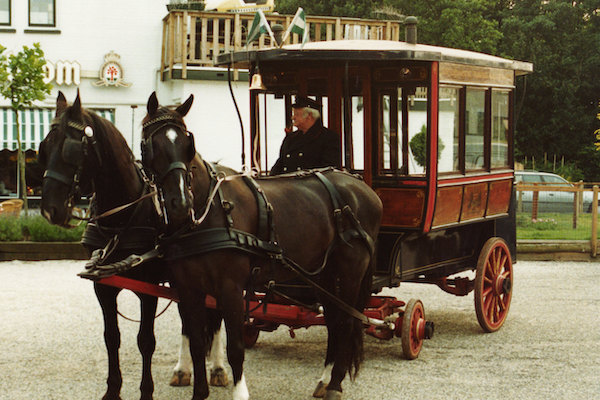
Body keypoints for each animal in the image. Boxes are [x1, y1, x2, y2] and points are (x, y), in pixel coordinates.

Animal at [38, 91, 230, 400]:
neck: (123, 216)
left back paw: (218, 367)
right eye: (45, 146)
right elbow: (111, 337)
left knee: (215, 317)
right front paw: (112, 390)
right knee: (190, 321)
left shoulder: (148, 288)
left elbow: (146, 340)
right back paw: (183, 369)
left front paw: (145, 391)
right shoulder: (103, 286)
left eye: (71, 149)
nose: (49, 209)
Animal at [141, 92, 382, 400]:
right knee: (333, 320)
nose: (180, 203)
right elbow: (196, 344)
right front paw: (199, 391)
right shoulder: (187, 287)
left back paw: (336, 384)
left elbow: (234, 348)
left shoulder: (230, 287)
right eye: (151, 145)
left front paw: (239, 392)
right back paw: (325, 378)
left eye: (187, 143)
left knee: (348, 321)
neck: (209, 210)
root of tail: (362, 187)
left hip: (350, 273)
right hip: (324, 276)